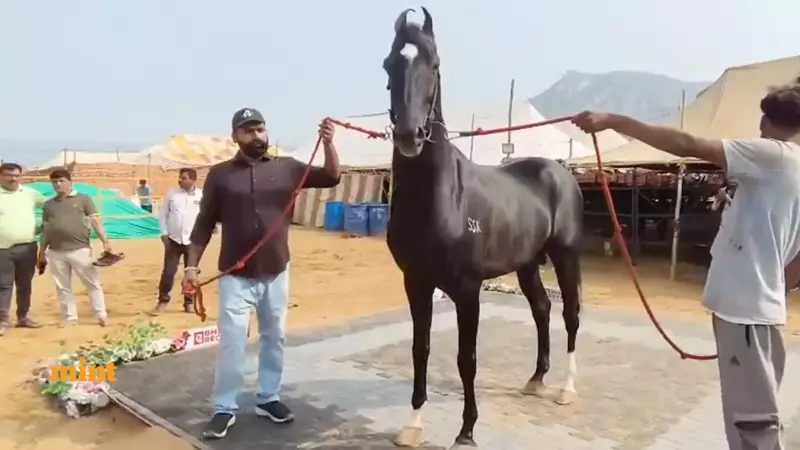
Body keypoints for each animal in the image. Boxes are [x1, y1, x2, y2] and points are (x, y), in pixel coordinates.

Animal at [383, 7, 584, 449]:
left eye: (434, 65)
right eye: (389, 64)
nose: (409, 135)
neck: (440, 198)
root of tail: (560, 171)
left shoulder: (467, 288)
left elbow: (467, 358)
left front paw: (467, 430)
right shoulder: (416, 282)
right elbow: (420, 349)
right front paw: (413, 424)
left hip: (565, 257)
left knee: (571, 314)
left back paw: (566, 389)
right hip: (527, 264)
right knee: (542, 309)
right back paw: (536, 379)